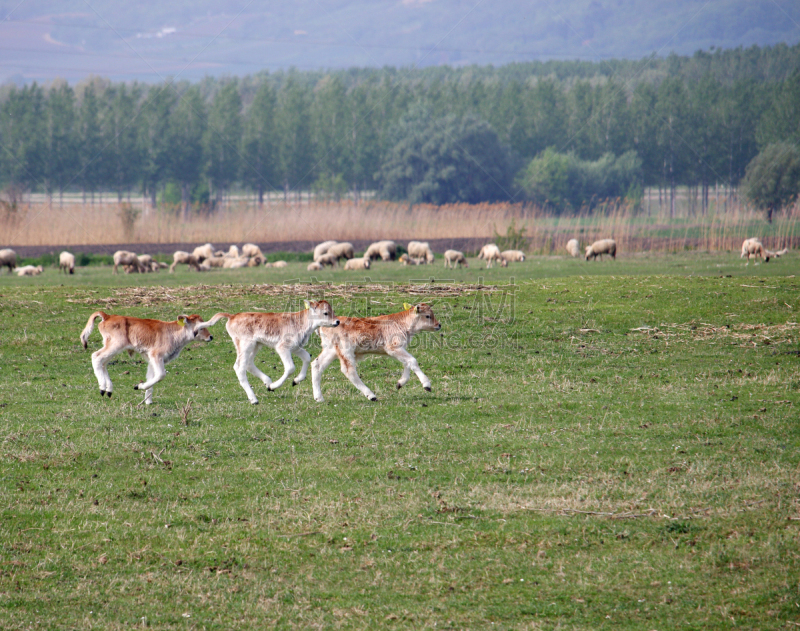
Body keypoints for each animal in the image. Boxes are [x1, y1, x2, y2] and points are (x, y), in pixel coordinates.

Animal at [205, 300, 340, 404]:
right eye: (325, 312)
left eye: (333, 311)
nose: (337, 321)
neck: (300, 323)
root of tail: (232, 316)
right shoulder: (282, 347)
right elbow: (290, 367)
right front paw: (274, 386)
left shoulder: (295, 347)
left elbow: (307, 357)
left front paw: (296, 381)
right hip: (245, 344)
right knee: (239, 367)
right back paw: (254, 399)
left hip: (256, 345)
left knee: (248, 364)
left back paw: (267, 382)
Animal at [310, 302, 440, 402]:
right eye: (428, 316)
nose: (439, 325)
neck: (401, 323)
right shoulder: (392, 347)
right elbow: (412, 360)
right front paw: (426, 385)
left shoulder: (398, 349)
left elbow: (407, 363)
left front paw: (400, 383)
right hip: (345, 349)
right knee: (348, 370)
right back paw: (371, 395)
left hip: (331, 349)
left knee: (316, 364)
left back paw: (319, 398)